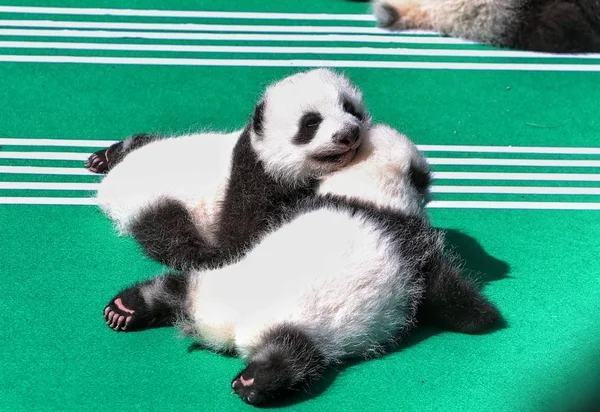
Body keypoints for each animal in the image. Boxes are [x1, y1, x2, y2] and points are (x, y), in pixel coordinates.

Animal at [86, 69, 372, 272]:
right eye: (311, 123)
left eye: (350, 108)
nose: (349, 133)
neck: (260, 150)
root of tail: (109, 187)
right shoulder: (252, 179)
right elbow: (242, 235)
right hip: (153, 202)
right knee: (171, 235)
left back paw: (104, 157)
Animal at [103, 124, 502, 406]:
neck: (364, 190)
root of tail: (222, 324)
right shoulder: (413, 245)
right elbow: (446, 289)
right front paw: (485, 317)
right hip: (298, 326)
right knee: (293, 356)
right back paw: (254, 381)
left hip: (212, 283)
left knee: (175, 286)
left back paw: (129, 306)